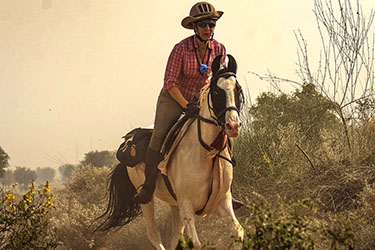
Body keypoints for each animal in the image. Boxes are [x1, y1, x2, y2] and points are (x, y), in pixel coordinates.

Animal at [95, 55, 245, 250]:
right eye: (217, 92)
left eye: (238, 90)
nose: (233, 125)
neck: (206, 153)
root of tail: (129, 139)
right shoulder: (187, 205)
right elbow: (196, 243)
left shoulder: (223, 201)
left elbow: (238, 232)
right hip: (147, 200)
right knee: (154, 234)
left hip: (175, 204)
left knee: (175, 237)